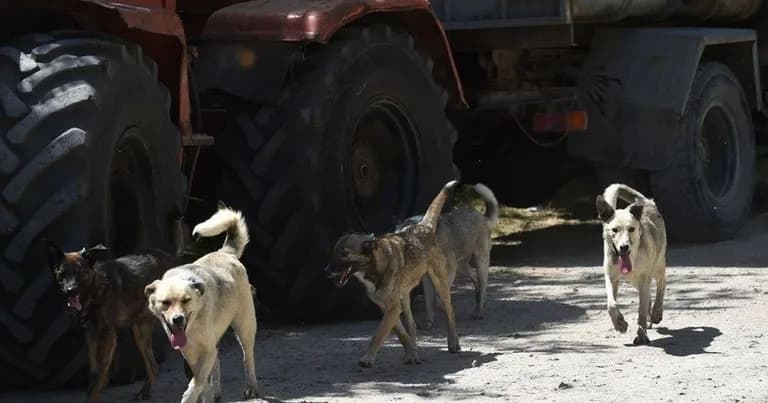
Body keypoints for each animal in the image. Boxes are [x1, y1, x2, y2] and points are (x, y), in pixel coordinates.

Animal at [45, 241, 176, 402]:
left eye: (79, 272)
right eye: (62, 274)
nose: (71, 290)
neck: (96, 290)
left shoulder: (108, 336)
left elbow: (100, 374)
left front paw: (93, 395)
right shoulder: (90, 334)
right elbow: (94, 370)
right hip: (139, 331)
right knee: (153, 366)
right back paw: (145, 392)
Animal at [146, 207, 260, 402]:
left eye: (186, 300)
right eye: (165, 303)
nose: (177, 319)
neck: (192, 327)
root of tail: (224, 252)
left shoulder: (206, 351)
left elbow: (198, 379)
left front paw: (191, 395)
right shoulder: (190, 353)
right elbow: (201, 378)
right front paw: (205, 392)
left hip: (244, 328)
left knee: (248, 357)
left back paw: (251, 387)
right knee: (217, 361)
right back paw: (215, 392)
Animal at [326, 181, 462, 370]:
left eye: (345, 253)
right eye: (334, 251)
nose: (326, 270)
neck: (376, 267)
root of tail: (423, 226)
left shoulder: (392, 308)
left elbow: (378, 334)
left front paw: (367, 358)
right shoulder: (388, 308)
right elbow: (401, 333)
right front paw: (411, 353)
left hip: (439, 285)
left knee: (450, 313)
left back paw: (453, 342)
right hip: (404, 296)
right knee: (412, 324)